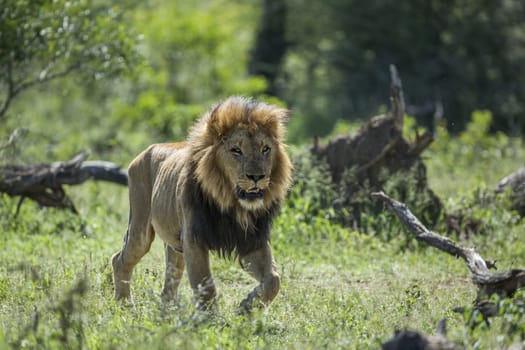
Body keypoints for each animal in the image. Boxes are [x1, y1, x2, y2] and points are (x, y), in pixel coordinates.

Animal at [111, 96, 292, 312]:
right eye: (236, 150)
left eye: (266, 149)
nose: (257, 177)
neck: (231, 205)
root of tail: (145, 151)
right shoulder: (194, 240)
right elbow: (206, 286)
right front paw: (210, 319)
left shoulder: (252, 241)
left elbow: (273, 279)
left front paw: (247, 307)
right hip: (141, 229)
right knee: (120, 259)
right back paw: (124, 305)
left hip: (175, 245)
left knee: (169, 283)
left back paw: (168, 313)